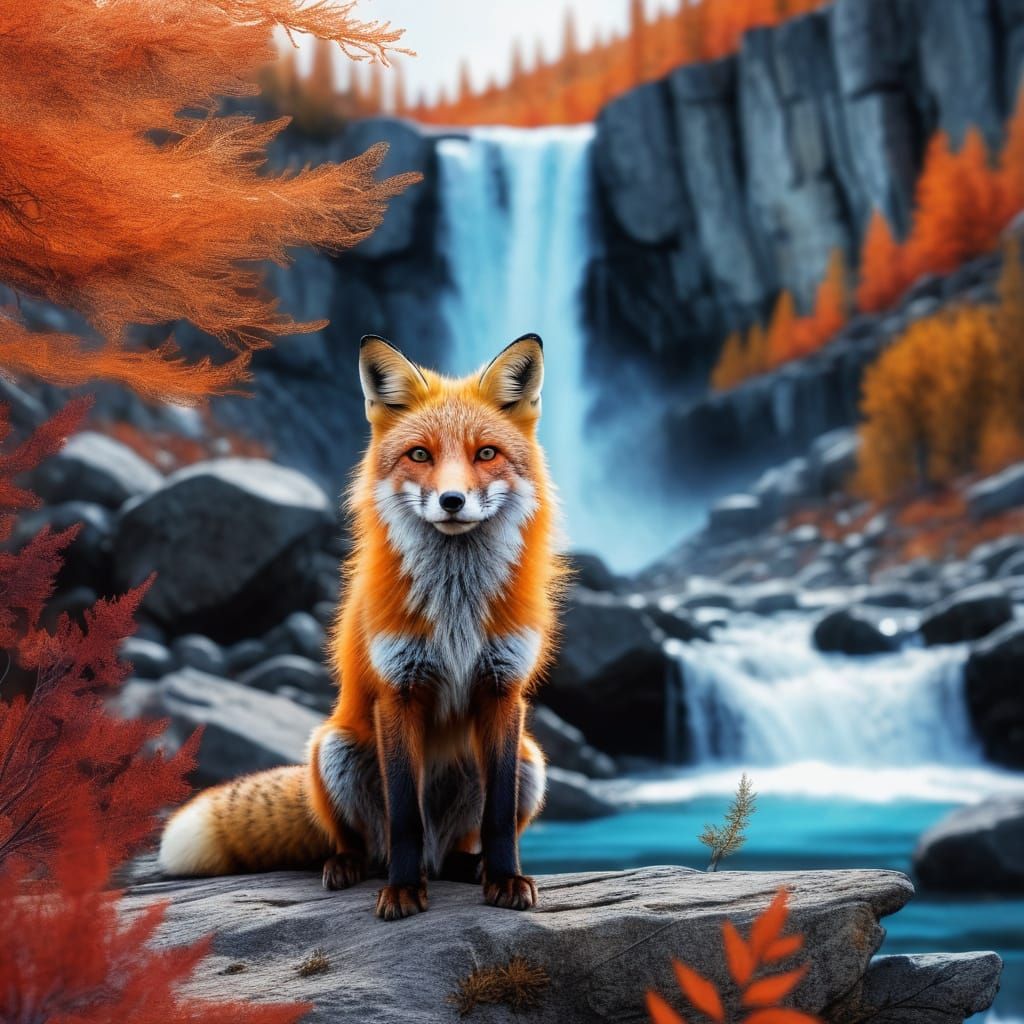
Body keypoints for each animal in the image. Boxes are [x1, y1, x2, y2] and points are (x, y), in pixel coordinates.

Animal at [158, 333, 565, 920]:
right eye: (420, 454)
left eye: (486, 453)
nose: (452, 500)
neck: (456, 608)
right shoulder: (397, 690)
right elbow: (404, 815)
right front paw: (402, 891)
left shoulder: (502, 689)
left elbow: (499, 817)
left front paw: (506, 879)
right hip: (334, 749)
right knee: (368, 843)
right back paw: (354, 867)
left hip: (531, 762)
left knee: (458, 845)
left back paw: (469, 867)